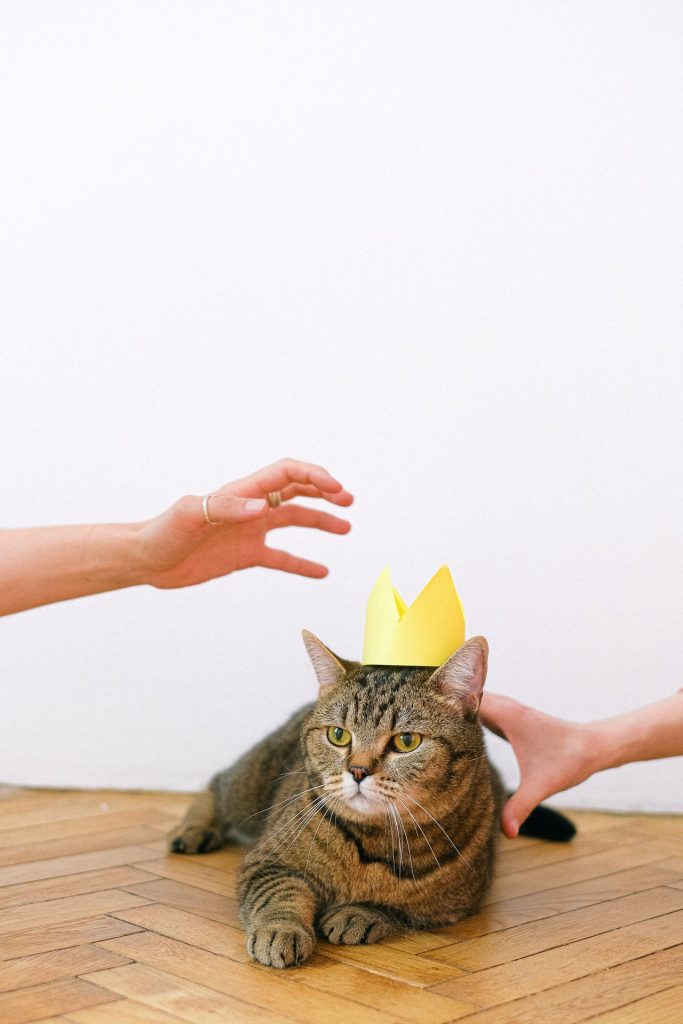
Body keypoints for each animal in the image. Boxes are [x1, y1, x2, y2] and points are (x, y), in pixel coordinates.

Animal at [169, 630, 573, 966]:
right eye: (338, 735)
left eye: (406, 741)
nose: (358, 770)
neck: (372, 843)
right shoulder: (266, 859)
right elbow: (279, 893)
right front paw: (280, 929)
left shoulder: (456, 903)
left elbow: (397, 907)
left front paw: (358, 913)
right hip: (249, 790)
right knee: (215, 787)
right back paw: (193, 830)